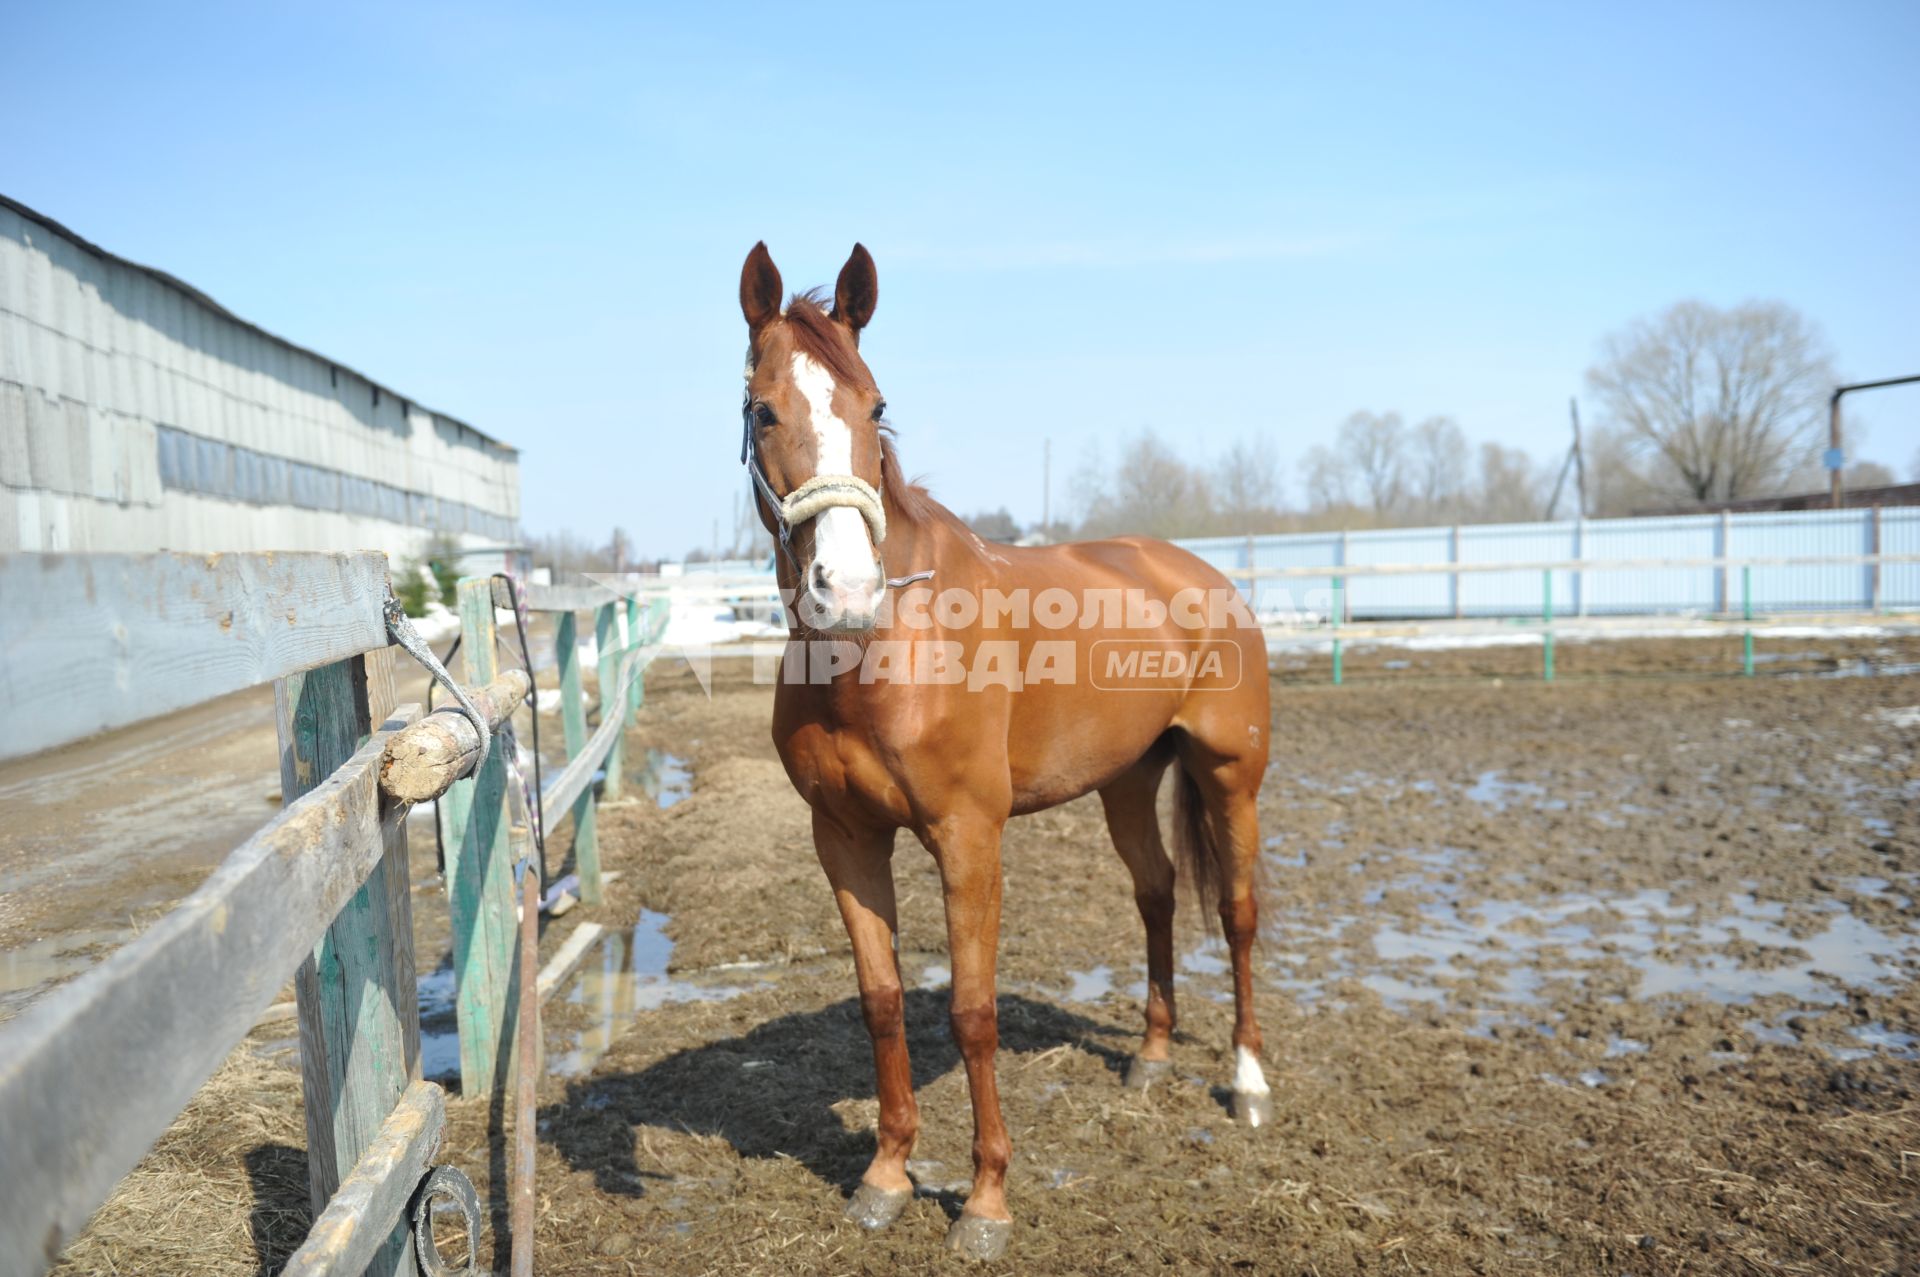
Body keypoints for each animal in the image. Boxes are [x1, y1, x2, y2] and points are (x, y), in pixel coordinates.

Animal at [737, 239, 1274, 1252]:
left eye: (876, 406)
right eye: (763, 409)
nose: (845, 588)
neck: (884, 651)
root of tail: (1196, 571)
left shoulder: (968, 837)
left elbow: (973, 1012)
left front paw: (985, 1202)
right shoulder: (845, 838)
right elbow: (882, 1002)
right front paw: (886, 1176)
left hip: (1232, 777)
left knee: (1236, 913)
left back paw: (1249, 1082)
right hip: (1125, 781)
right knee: (1156, 894)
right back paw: (1150, 1056)